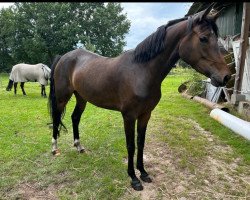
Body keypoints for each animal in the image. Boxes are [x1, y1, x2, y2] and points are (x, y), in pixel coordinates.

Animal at [47, 5, 231, 191]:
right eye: (203, 38)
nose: (226, 76)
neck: (142, 71)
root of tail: (63, 57)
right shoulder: (129, 116)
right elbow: (131, 145)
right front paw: (133, 178)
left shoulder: (145, 114)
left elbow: (141, 143)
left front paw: (143, 172)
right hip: (62, 97)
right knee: (56, 117)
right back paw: (54, 149)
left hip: (81, 98)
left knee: (75, 118)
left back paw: (79, 147)